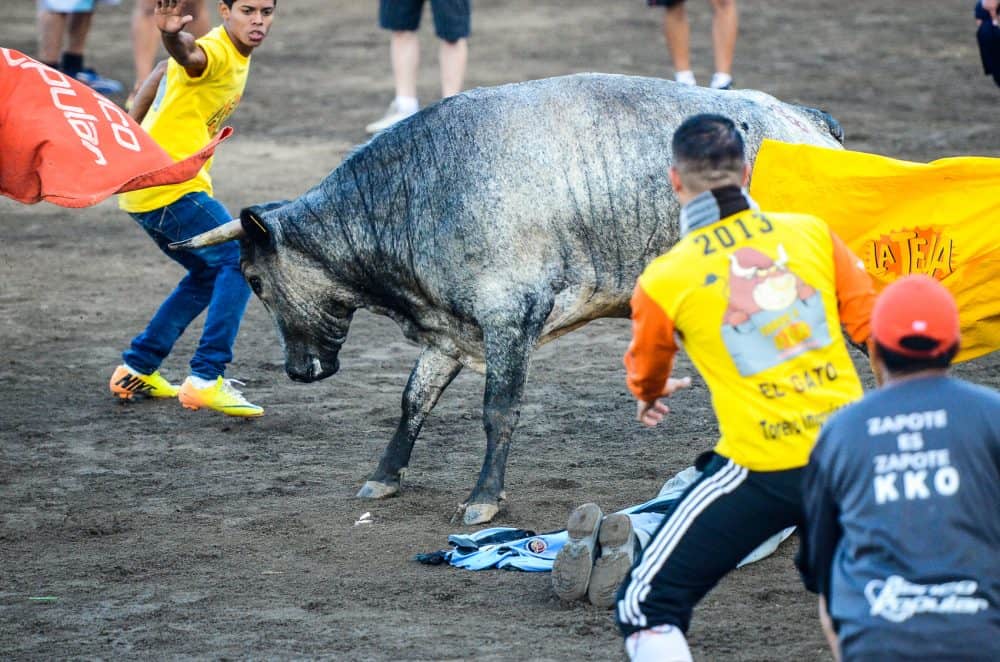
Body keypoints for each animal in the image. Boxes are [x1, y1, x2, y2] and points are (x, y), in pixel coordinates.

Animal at [174, 74, 844, 524]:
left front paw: (483, 500)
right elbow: (412, 401)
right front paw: (383, 478)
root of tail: (808, 120)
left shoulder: (510, 318)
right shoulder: (449, 331)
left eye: (253, 279)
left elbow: (499, 410)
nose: (297, 370)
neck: (416, 192)